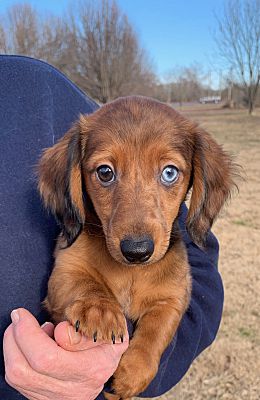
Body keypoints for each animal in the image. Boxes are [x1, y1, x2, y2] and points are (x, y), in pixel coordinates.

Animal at [38, 95, 236, 398]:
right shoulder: (64, 271)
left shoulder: (174, 296)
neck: (131, 273)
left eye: (169, 173)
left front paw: (133, 372)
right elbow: (84, 283)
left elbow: (157, 328)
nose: (137, 251)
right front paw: (100, 309)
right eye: (105, 172)